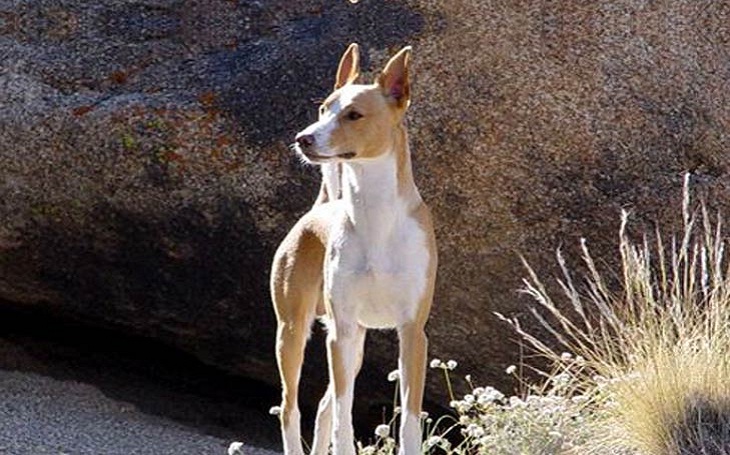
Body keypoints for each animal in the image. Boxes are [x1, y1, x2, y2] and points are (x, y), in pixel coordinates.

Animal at [270, 43, 436, 455]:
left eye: (354, 114)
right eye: (323, 108)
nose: (304, 138)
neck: (375, 219)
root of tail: (321, 208)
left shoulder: (412, 333)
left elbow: (409, 421)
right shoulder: (340, 332)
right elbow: (343, 418)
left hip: (356, 344)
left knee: (323, 406)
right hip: (294, 333)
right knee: (291, 407)